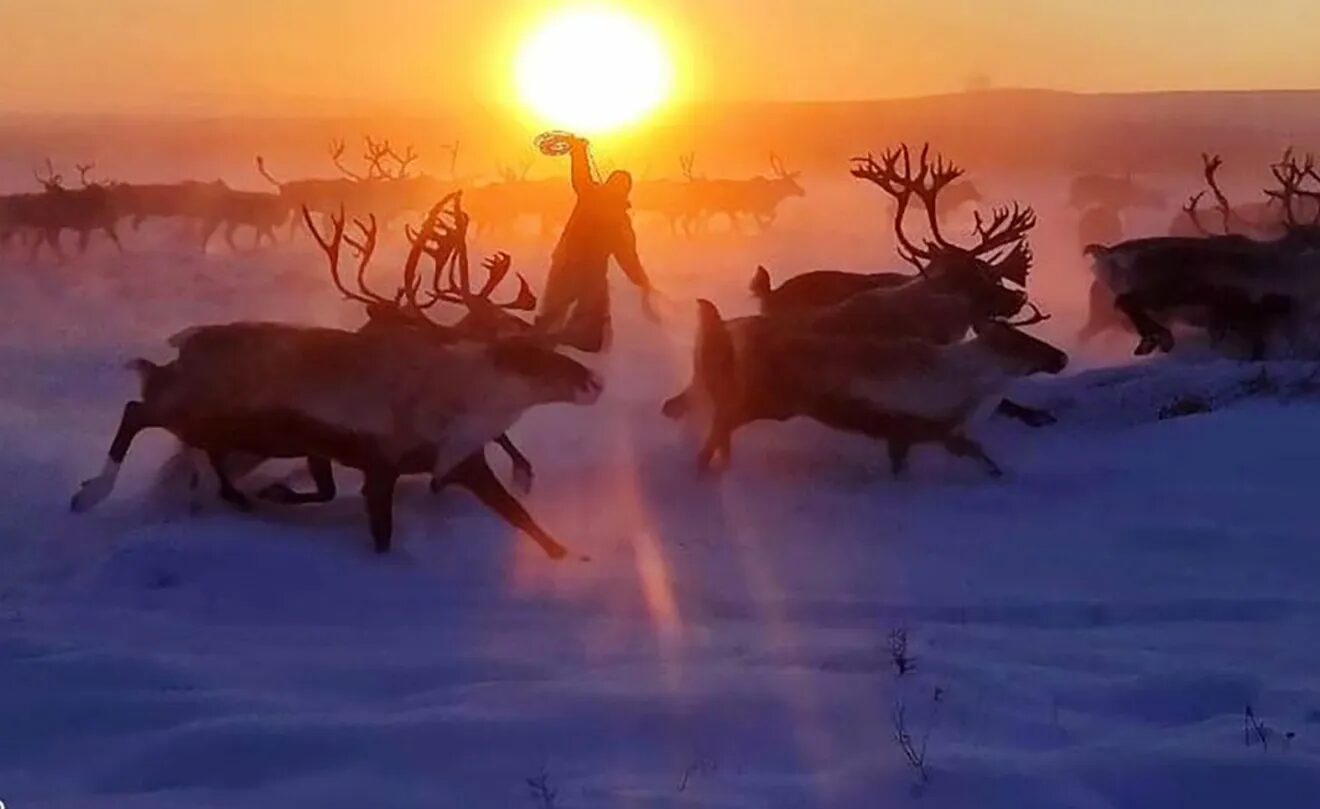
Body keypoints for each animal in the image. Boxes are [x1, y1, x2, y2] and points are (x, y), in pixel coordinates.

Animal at [70, 196, 601, 558]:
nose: (592, 379)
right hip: (199, 411)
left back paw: (233, 499)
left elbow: (529, 524)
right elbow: (381, 531)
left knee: (189, 449)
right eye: (522, 352)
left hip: (230, 430)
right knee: (137, 411)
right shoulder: (380, 464)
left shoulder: (460, 462)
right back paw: (90, 494)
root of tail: (188, 341)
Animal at [1086, 151, 1320, 358]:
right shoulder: (1239, 313)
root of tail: (1105, 255)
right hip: (1158, 290)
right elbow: (1253, 348)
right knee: (1125, 301)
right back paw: (1161, 339)